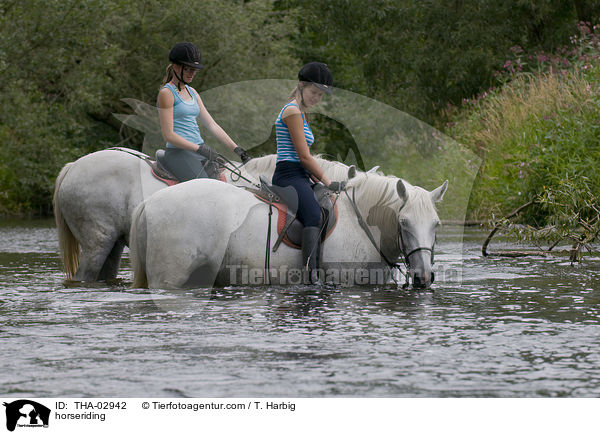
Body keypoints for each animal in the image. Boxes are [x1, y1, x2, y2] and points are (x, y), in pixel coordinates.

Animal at [131, 168, 448, 290]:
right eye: (404, 223)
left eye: (436, 224)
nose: (423, 277)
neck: (360, 225)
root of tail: (149, 203)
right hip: (169, 278)